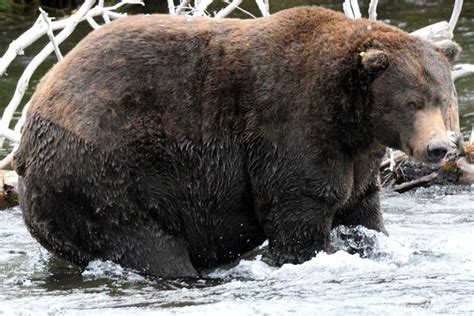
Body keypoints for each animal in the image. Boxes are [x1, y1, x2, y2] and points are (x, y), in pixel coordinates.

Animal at [13, 4, 460, 276]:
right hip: (105, 173)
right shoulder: (291, 127)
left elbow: (362, 214)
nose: (438, 147)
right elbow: (298, 209)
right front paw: (309, 254)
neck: (349, 118)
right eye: (411, 101)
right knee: (146, 244)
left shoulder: (358, 157)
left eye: (443, 97)